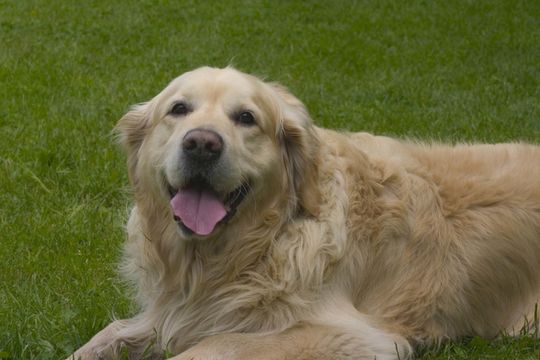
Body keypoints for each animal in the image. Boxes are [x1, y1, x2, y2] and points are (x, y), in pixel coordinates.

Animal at [69, 66, 540, 358]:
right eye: (178, 109)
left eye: (246, 118)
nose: (202, 143)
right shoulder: (174, 312)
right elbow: (110, 333)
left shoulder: (349, 336)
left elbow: (217, 346)